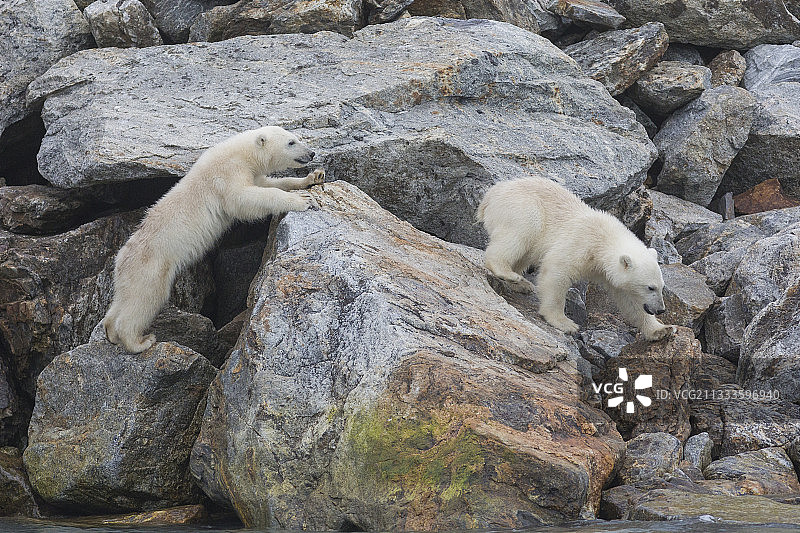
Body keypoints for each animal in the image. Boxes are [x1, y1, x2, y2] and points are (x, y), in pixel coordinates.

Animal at [102, 126, 324, 353]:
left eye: (297, 137)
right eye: (291, 142)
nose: (311, 153)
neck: (242, 153)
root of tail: (120, 259)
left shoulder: (250, 173)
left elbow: (270, 183)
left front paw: (314, 177)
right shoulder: (227, 174)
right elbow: (245, 199)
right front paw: (303, 200)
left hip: (130, 276)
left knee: (122, 300)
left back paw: (110, 332)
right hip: (152, 269)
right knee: (145, 300)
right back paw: (140, 342)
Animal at [477, 177, 675, 341]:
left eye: (662, 286)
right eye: (650, 287)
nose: (661, 309)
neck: (604, 238)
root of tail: (490, 195)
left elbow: (630, 300)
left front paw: (662, 329)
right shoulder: (580, 244)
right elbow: (556, 272)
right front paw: (565, 323)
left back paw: (521, 283)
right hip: (523, 209)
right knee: (519, 235)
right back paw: (507, 273)